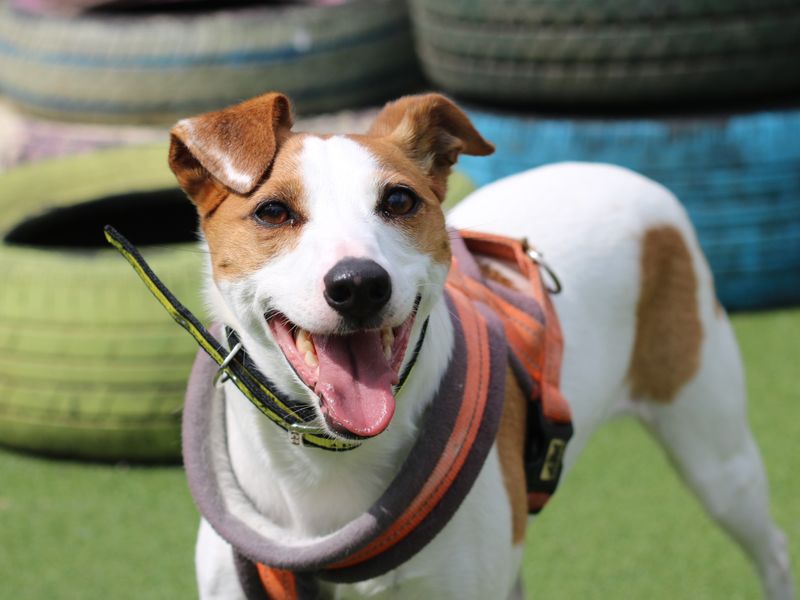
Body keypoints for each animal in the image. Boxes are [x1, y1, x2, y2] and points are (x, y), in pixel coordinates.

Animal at [166, 91, 792, 596]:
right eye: (272, 210)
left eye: (398, 201)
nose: (360, 285)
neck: (327, 464)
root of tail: (633, 176)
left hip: (717, 456)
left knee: (774, 550)